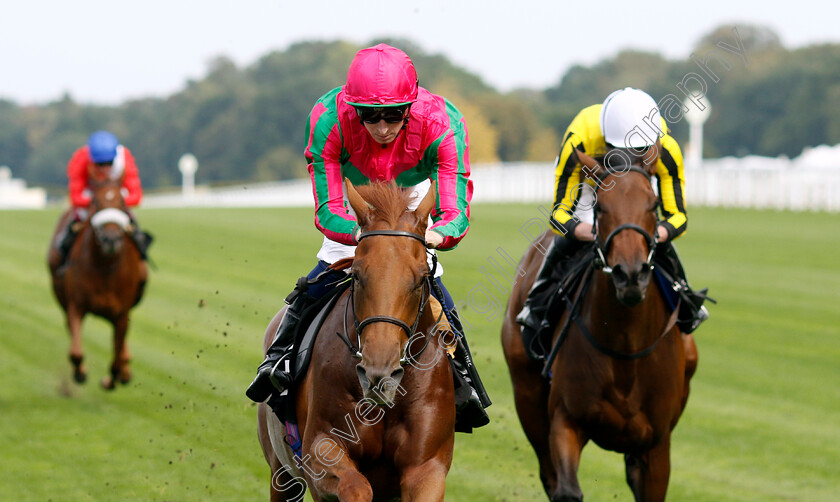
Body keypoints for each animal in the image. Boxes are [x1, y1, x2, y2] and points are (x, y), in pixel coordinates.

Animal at [47, 175, 147, 390]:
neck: (105, 268)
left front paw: (112, 379)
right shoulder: (76, 306)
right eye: (95, 202)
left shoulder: (121, 314)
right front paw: (80, 373)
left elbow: (117, 357)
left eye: (122, 201)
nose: (111, 239)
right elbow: (76, 352)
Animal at [258, 181, 456, 502]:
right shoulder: (320, 450)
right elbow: (357, 487)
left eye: (420, 279)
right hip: (282, 472)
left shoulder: (427, 467)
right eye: (358, 275)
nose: (379, 375)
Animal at [502, 149, 700, 502]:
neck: (627, 347)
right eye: (600, 206)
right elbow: (566, 489)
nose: (630, 274)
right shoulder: (566, 420)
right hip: (527, 395)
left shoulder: (656, 444)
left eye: (652, 204)